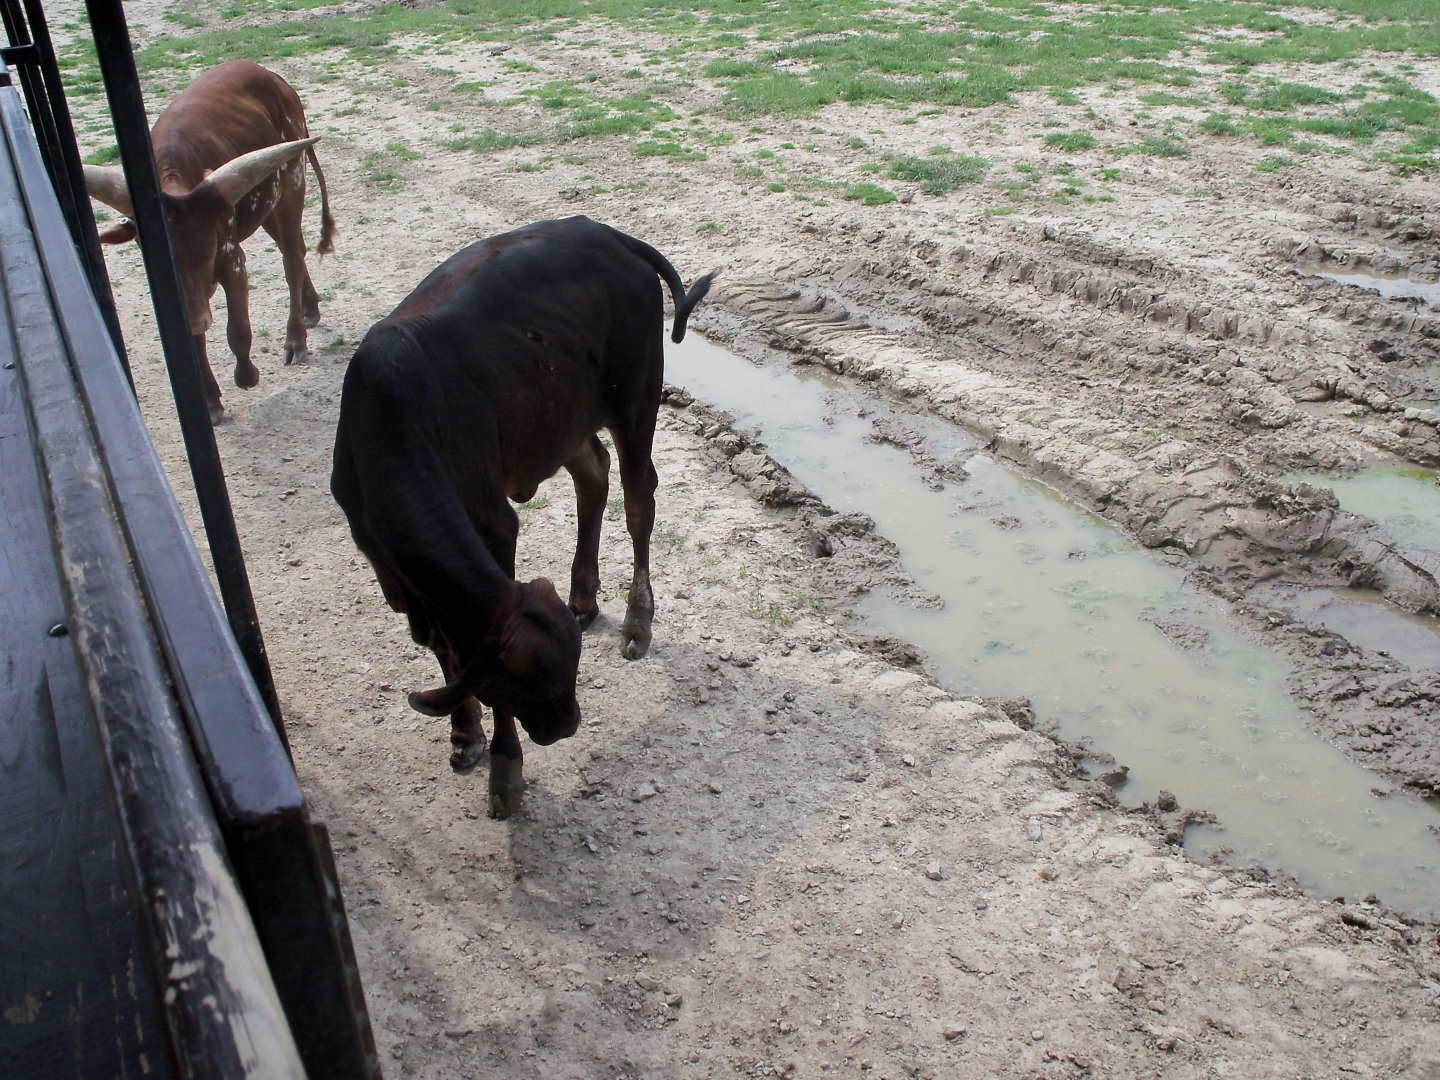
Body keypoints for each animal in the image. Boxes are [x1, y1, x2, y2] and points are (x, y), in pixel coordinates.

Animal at [84, 59, 336, 423]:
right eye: (155, 258)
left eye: (208, 249)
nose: (196, 318)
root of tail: (274, 78)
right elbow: (195, 340)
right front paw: (211, 400)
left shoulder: (233, 261)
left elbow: (238, 330)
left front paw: (246, 376)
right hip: (264, 204)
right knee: (298, 251)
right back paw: (310, 308)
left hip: (291, 184)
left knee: (291, 258)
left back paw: (295, 341)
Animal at [331, 216, 714, 819]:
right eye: (522, 687)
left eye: (571, 673)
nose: (567, 726)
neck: (393, 422)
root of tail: (609, 233)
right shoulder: (383, 561)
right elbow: (440, 642)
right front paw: (465, 736)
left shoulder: (493, 527)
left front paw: (504, 771)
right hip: (563, 415)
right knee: (594, 475)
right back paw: (583, 597)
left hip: (636, 401)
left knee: (638, 499)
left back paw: (637, 621)